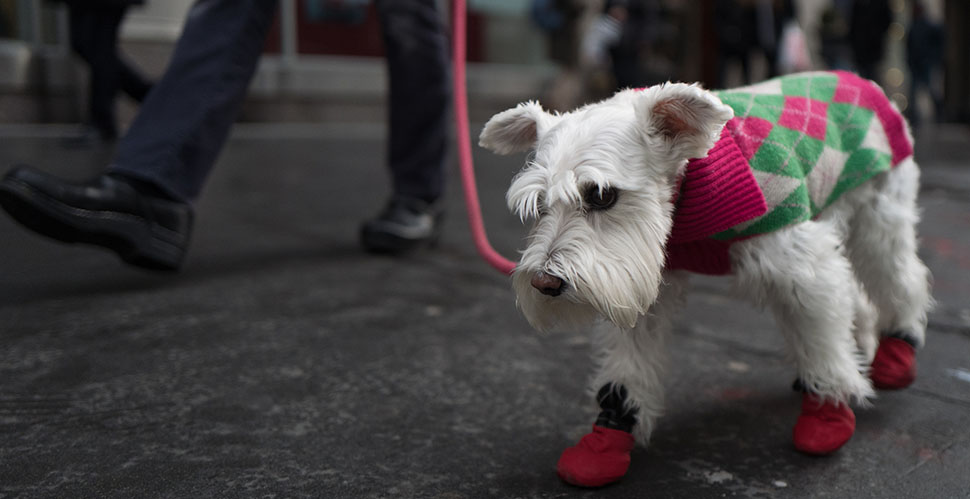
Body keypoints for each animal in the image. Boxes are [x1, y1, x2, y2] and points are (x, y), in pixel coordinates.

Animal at [478, 71, 932, 488]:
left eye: (602, 195)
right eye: (540, 204)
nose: (545, 284)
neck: (688, 184)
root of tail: (862, 81)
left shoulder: (805, 265)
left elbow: (822, 341)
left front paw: (827, 412)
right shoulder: (637, 284)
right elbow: (628, 368)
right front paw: (607, 440)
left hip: (880, 218)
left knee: (902, 280)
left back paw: (898, 348)